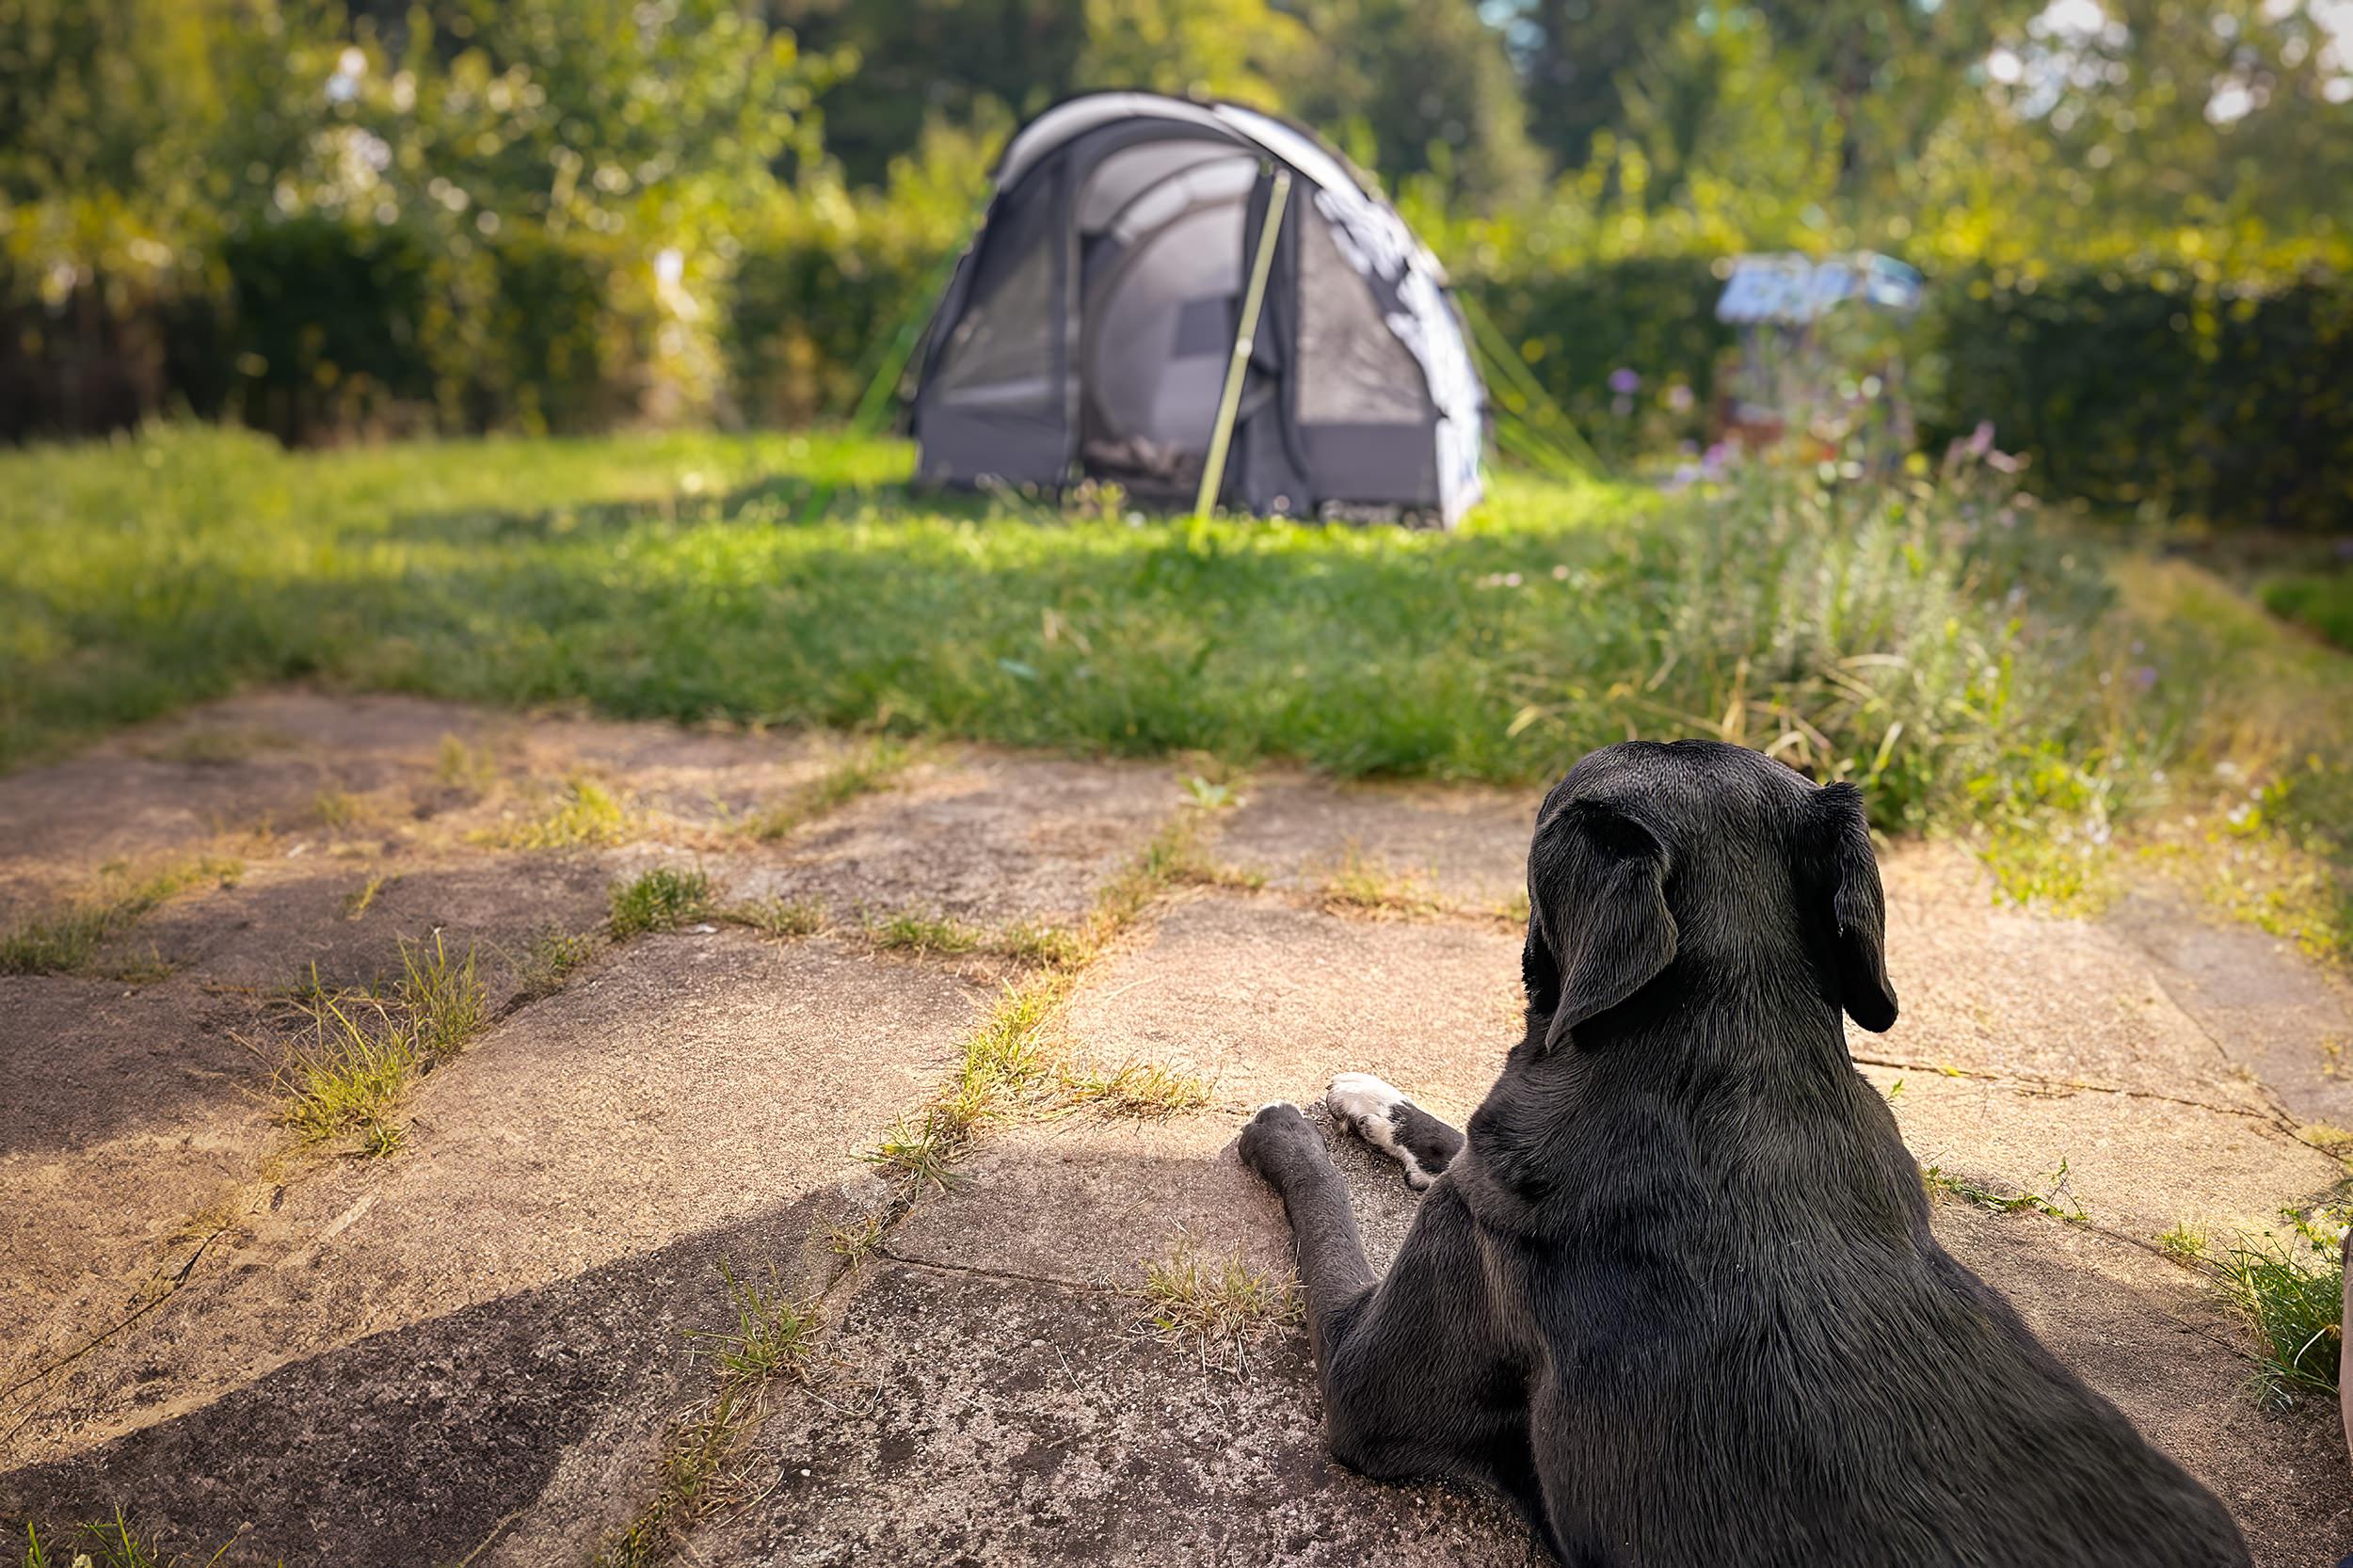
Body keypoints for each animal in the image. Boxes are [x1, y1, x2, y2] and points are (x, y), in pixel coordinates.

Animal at [1233, 739, 2240, 1562]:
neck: (1724, 1070)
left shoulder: (1363, 1378)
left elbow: (1325, 1219)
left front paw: (1283, 1127)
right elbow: (1440, 1139)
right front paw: (1372, 1103)